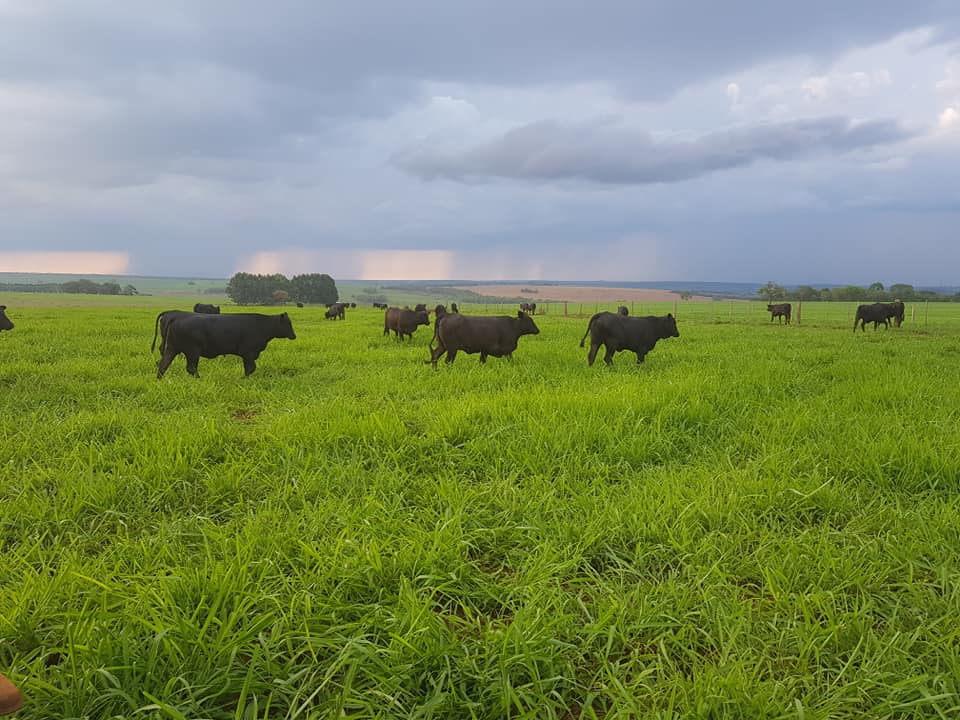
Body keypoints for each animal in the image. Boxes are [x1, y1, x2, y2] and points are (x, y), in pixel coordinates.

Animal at [157, 310, 296, 380]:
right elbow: (250, 368)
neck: (263, 325)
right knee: (190, 368)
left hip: (172, 348)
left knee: (163, 364)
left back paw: (159, 379)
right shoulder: (248, 353)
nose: (294, 336)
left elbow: (250, 368)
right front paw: (244, 379)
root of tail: (176, 317)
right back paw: (199, 378)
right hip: (192, 352)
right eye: (288, 323)